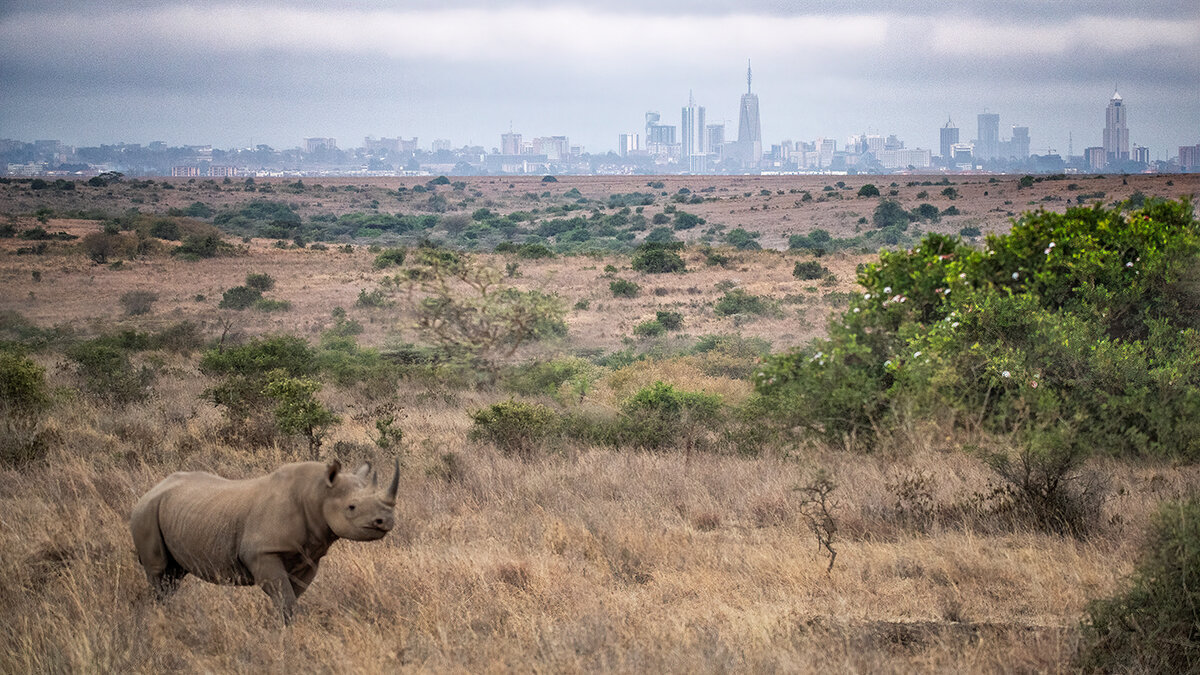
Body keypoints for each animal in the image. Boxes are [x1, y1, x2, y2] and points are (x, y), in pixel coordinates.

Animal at [130, 458, 398, 623]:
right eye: (351, 507)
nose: (385, 520)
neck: (318, 493)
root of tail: (150, 490)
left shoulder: (309, 557)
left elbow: (291, 596)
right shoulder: (262, 552)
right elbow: (284, 598)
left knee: (173, 576)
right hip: (146, 512)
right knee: (159, 572)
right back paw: (163, 616)